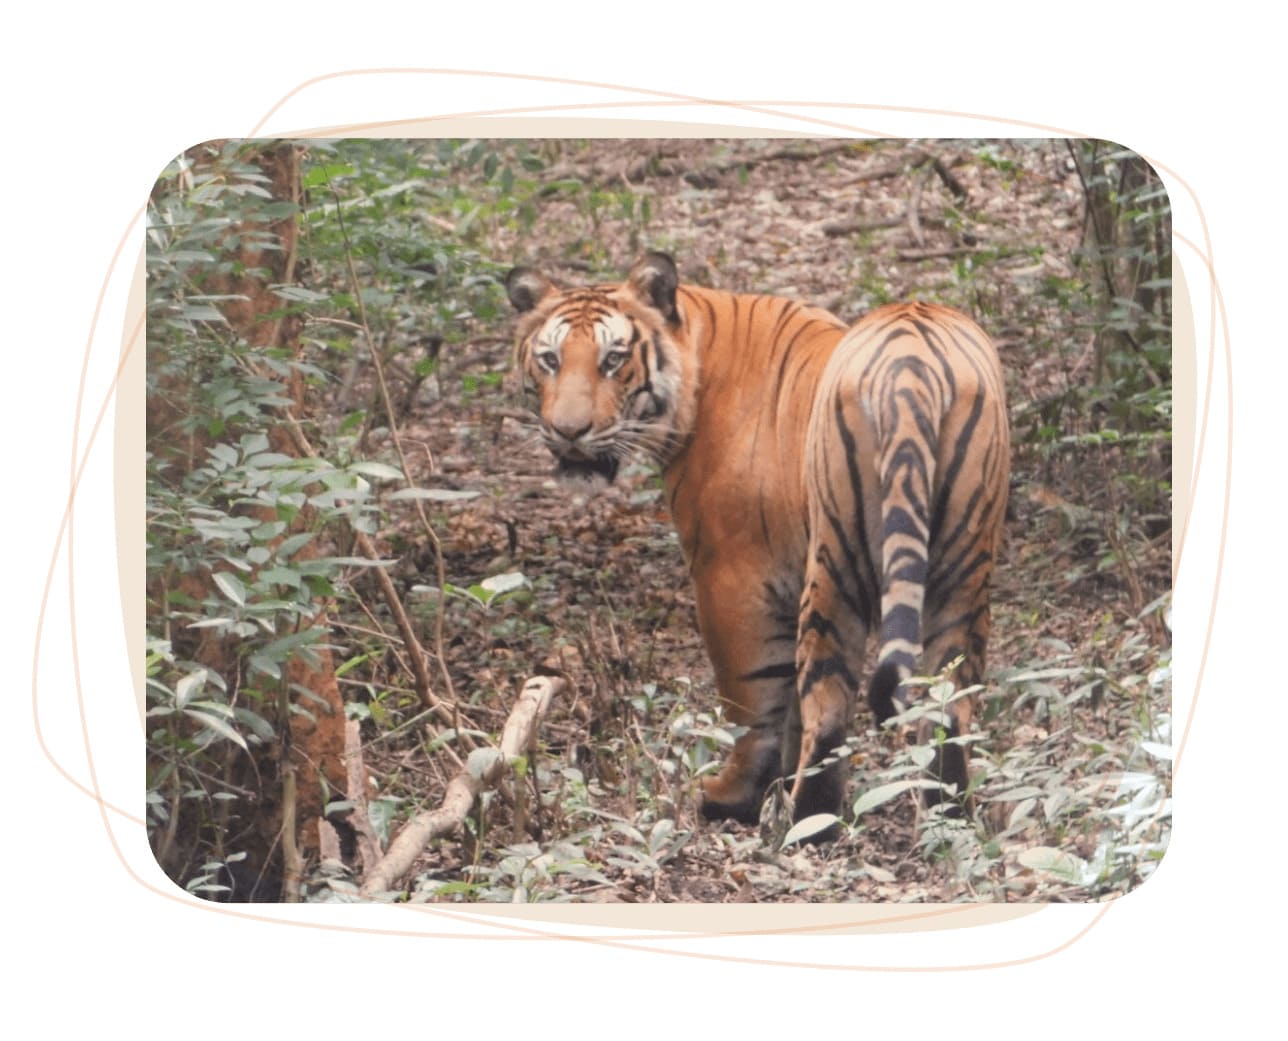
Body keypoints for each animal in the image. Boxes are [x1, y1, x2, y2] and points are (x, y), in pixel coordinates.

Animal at [506, 251, 1010, 833]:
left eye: (613, 360)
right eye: (549, 359)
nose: (568, 433)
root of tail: (912, 365)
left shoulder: (731, 574)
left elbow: (755, 696)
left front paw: (736, 795)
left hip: (835, 562)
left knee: (829, 702)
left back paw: (809, 820)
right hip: (963, 564)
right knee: (951, 700)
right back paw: (949, 811)